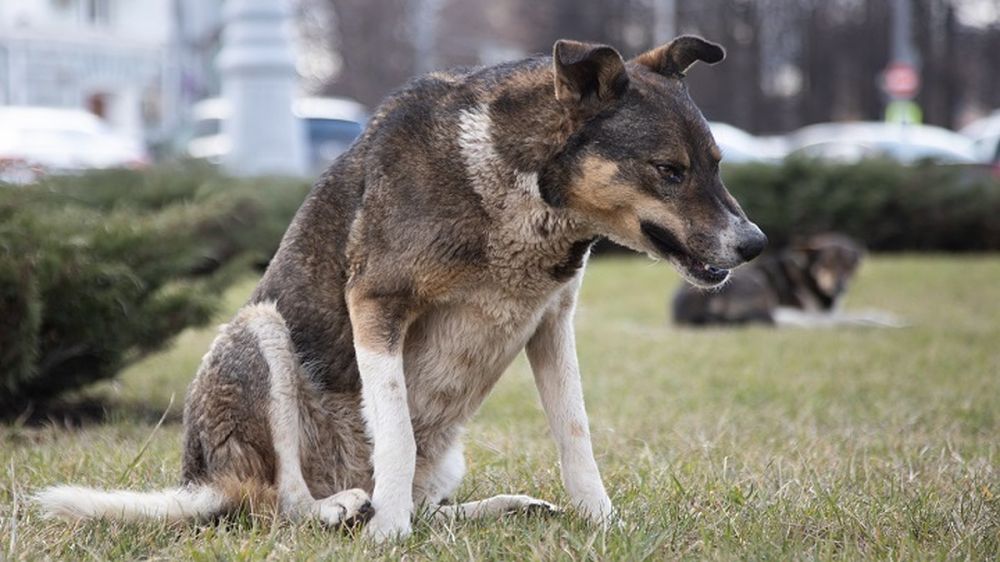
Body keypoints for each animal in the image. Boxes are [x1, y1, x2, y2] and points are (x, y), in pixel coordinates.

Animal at [33, 35, 764, 540]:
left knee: (428, 503)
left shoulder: (552, 324)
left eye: (717, 164)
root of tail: (204, 483)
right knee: (284, 503)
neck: (514, 188)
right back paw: (344, 508)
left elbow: (576, 435)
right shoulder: (377, 305)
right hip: (259, 333)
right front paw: (387, 533)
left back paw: (499, 507)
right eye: (669, 171)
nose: (755, 243)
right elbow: (395, 432)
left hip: (448, 457)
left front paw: (603, 522)